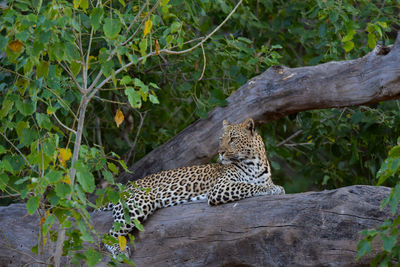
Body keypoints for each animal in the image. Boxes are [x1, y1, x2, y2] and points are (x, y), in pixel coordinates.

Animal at [99, 119, 286, 258]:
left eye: (233, 139)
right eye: (221, 140)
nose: (220, 152)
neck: (254, 163)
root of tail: (122, 189)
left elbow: (257, 183)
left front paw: (274, 187)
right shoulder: (220, 188)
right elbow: (247, 186)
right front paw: (274, 189)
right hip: (138, 205)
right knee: (107, 236)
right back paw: (120, 251)